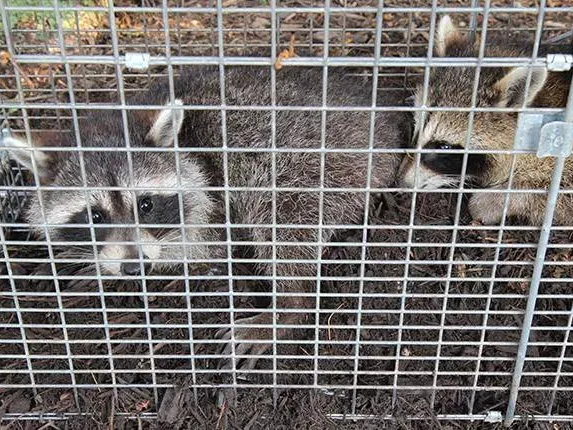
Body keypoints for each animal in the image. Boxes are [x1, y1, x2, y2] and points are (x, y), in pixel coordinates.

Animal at [3, 65, 406, 368]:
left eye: (145, 205)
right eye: (96, 217)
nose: (134, 268)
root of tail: (385, 129)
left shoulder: (214, 199)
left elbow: (197, 249)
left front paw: (100, 267)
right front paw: (84, 259)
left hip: (316, 166)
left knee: (280, 219)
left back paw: (288, 307)